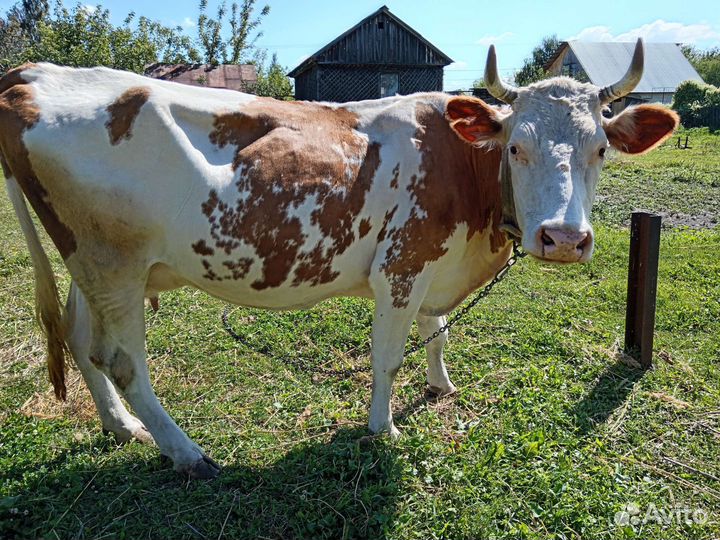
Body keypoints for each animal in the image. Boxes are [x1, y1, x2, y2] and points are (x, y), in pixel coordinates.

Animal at [0, 39, 677, 478]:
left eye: (600, 148)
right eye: (516, 147)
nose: (563, 238)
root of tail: (33, 75)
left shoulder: (434, 261)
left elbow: (437, 331)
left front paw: (440, 385)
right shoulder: (401, 267)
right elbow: (389, 356)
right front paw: (384, 427)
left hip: (92, 265)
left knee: (81, 340)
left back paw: (122, 429)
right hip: (112, 264)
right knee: (122, 361)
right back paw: (187, 453)